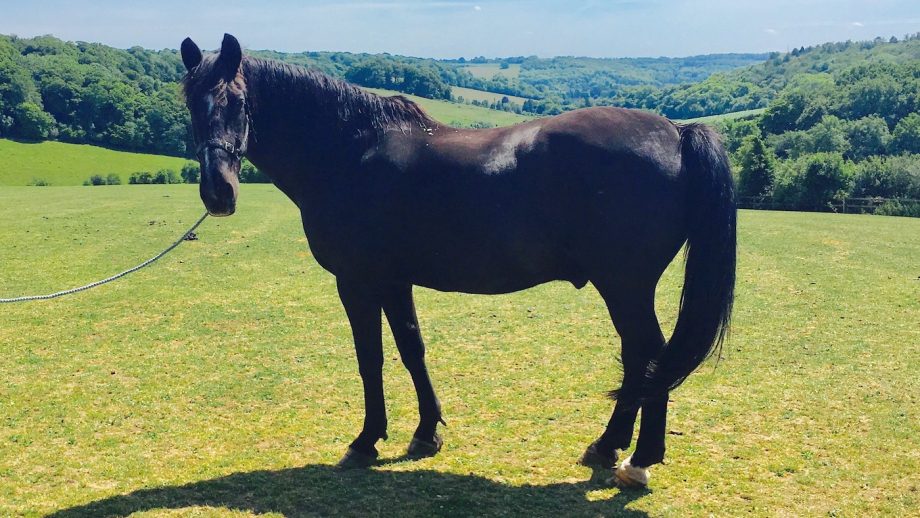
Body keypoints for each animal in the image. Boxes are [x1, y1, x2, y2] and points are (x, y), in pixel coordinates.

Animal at [181, 34, 740, 490]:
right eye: (190, 102)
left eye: (237, 101)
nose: (218, 193)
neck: (348, 151)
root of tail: (677, 132)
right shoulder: (393, 281)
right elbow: (411, 350)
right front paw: (425, 434)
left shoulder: (357, 282)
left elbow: (370, 359)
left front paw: (366, 441)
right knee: (641, 359)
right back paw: (608, 448)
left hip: (624, 286)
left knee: (650, 355)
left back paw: (638, 460)